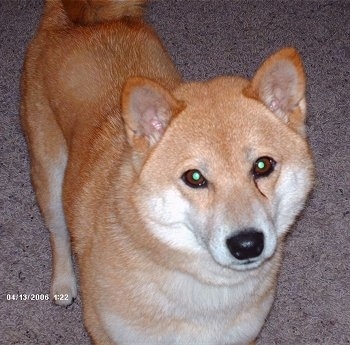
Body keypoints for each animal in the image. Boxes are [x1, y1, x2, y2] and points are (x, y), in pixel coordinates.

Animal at [20, 0, 314, 344]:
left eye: (263, 165)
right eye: (194, 178)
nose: (247, 244)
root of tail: (79, 23)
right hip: (49, 176)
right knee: (59, 233)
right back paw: (64, 283)